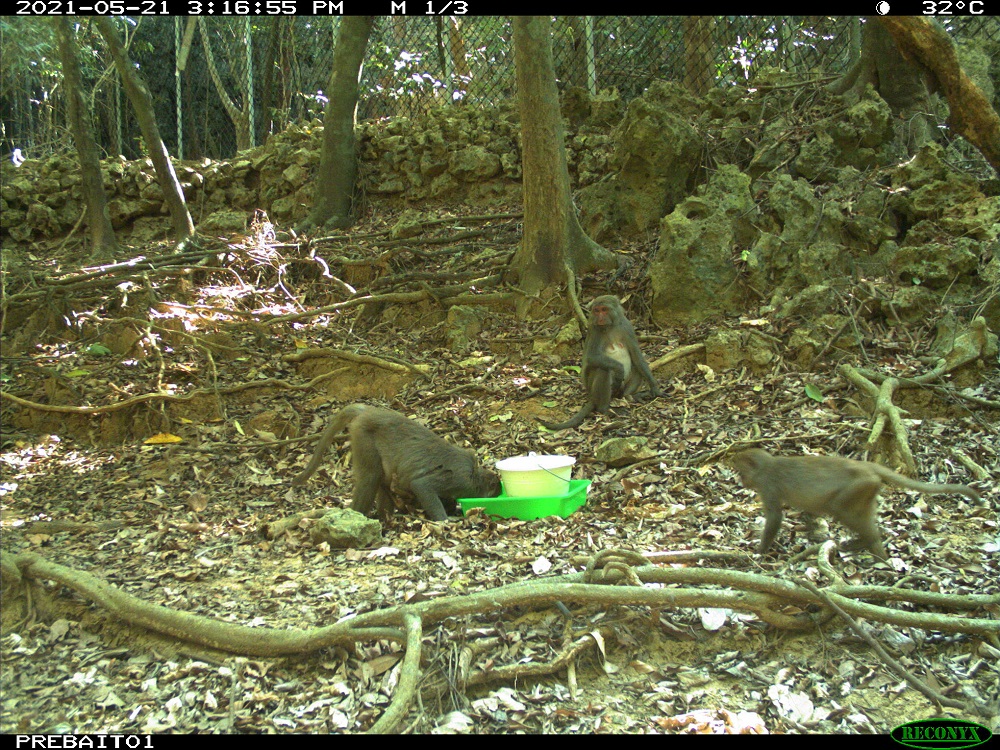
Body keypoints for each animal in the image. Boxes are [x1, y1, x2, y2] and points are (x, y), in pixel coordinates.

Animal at [292, 406, 504, 524]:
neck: (475, 474)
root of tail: (369, 411)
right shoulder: (460, 480)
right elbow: (422, 485)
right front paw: (446, 522)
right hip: (363, 436)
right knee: (372, 476)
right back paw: (358, 516)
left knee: (382, 479)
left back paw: (385, 518)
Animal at [540, 296, 664, 432]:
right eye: (597, 310)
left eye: (604, 309)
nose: (600, 318)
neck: (610, 326)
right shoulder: (595, 329)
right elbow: (592, 357)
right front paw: (619, 370)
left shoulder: (627, 326)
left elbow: (637, 357)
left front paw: (655, 388)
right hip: (592, 389)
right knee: (603, 370)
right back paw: (604, 409)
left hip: (618, 391)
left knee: (636, 367)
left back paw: (629, 396)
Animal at [732, 450, 980, 560]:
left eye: (741, 471)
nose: (741, 481)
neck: (766, 465)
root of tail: (867, 466)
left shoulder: (767, 485)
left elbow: (775, 517)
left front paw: (759, 551)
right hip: (868, 490)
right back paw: (873, 547)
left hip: (859, 486)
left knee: (840, 510)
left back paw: (870, 545)